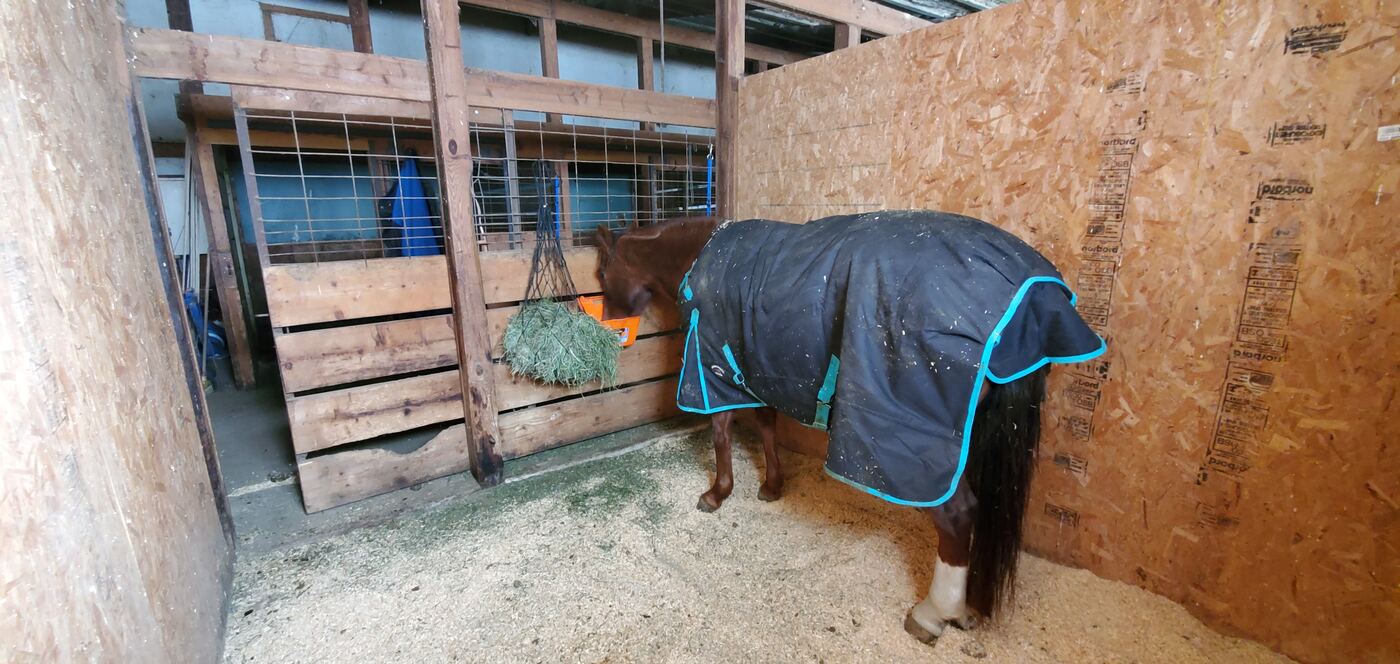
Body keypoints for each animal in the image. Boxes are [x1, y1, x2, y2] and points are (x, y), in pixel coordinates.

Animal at [593, 211, 1103, 644]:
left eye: (602, 274)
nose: (612, 325)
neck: (701, 259)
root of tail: (1028, 296)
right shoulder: (759, 365)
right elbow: (766, 425)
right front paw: (772, 485)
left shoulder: (715, 362)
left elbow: (721, 430)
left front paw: (718, 493)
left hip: (922, 448)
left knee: (958, 515)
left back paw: (932, 614)